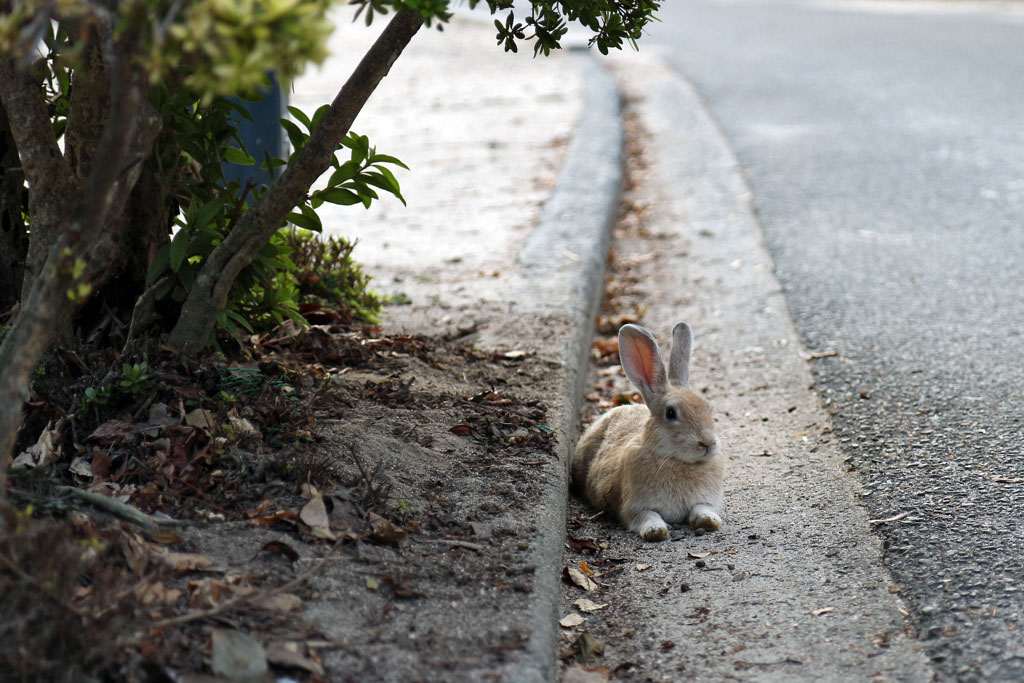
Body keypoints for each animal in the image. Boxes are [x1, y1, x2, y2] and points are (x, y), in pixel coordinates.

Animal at [571, 322, 724, 542]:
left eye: (707, 408)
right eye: (671, 413)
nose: (708, 443)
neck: (677, 461)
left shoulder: (705, 500)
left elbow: (702, 509)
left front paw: (709, 521)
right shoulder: (635, 507)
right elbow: (648, 516)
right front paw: (655, 531)